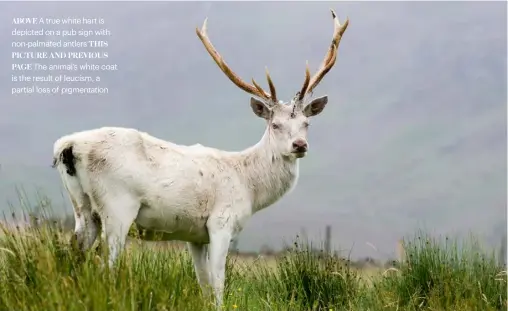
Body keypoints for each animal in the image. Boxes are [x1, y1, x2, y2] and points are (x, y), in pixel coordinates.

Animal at [52, 9, 350, 310]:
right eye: (275, 124)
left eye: (306, 123)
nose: (299, 145)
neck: (249, 187)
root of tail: (67, 145)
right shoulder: (221, 222)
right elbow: (218, 284)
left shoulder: (194, 235)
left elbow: (203, 283)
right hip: (117, 206)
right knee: (106, 267)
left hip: (82, 207)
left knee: (72, 257)